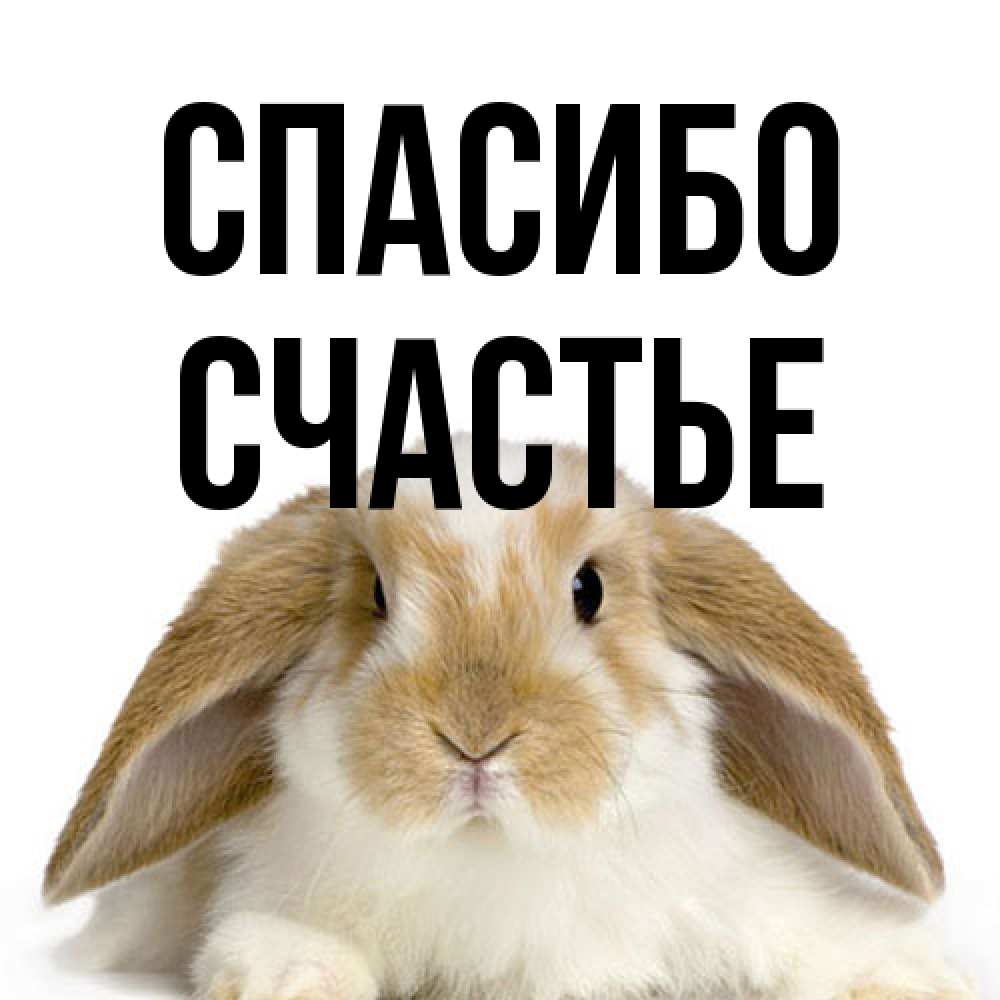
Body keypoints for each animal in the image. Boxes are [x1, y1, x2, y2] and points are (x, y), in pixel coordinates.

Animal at [45, 437, 975, 1000]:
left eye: (589, 589)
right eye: (375, 595)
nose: (475, 737)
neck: (495, 857)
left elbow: (817, 939)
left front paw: (909, 977)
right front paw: (290, 976)